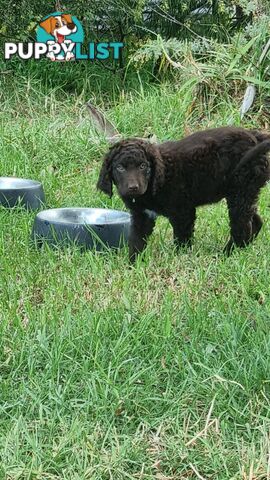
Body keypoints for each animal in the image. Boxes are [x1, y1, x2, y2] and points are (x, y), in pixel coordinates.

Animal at [97, 127, 270, 260]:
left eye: (143, 166)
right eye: (120, 168)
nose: (133, 187)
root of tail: (254, 135)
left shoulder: (182, 211)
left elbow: (182, 238)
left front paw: (180, 257)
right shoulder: (142, 215)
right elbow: (137, 240)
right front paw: (133, 264)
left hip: (241, 189)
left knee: (241, 227)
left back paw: (226, 255)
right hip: (244, 192)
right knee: (254, 221)